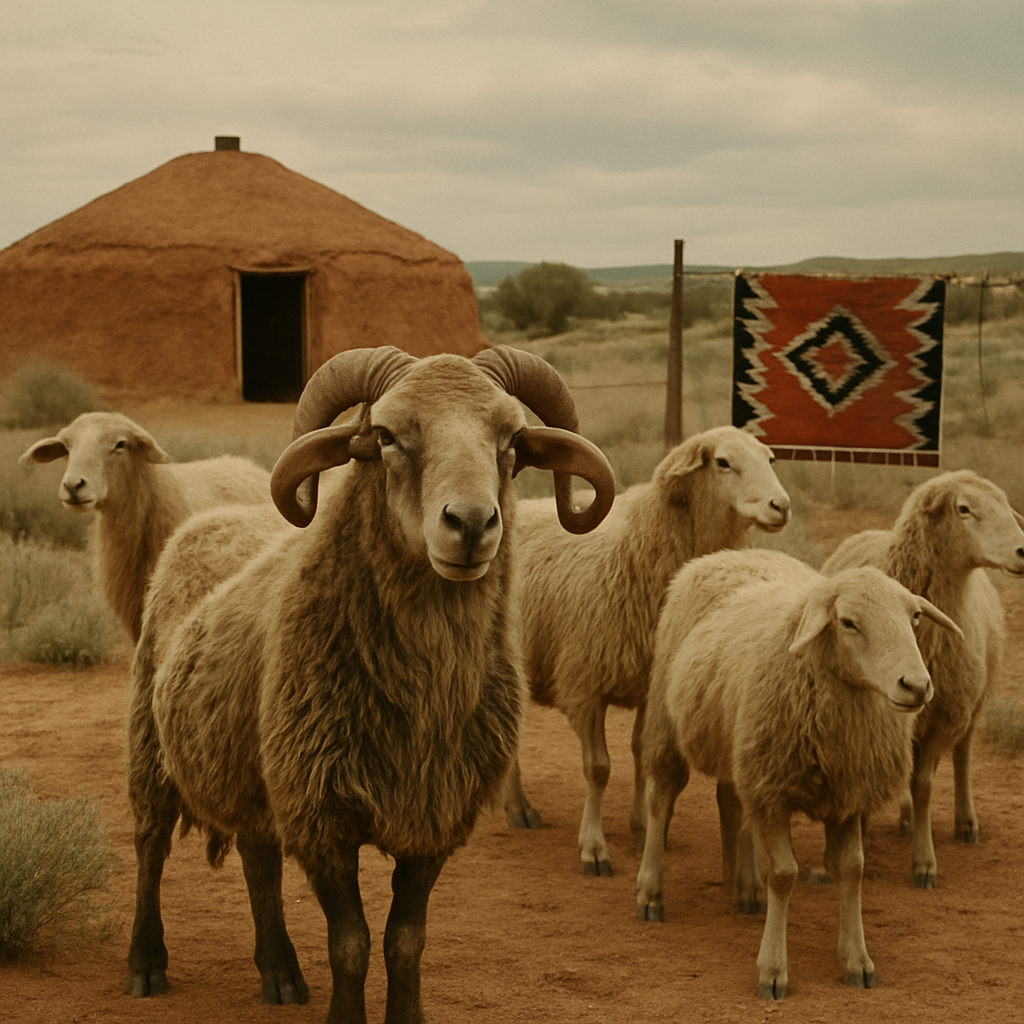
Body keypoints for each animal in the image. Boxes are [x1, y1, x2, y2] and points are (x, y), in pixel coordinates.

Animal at [125, 345, 617, 1024]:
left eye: (513, 440)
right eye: (384, 435)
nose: (470, 522)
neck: (421, 701)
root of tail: (213, 518)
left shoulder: (432, 821)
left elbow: (405, 941)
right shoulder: (323, 819)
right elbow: (351, 944)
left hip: (257, 771)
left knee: (258, 861)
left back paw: (280, 973)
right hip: (151, 744)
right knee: (150, 846)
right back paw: (146, 964)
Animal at [502, 425, 791, 877]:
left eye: (770, 459)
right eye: (723, 462)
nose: (781, 506)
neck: (638, 549)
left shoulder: (648, 683)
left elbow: (639, 754)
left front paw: (642, 829)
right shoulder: (585, 682)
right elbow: (598, 768)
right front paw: (594, 847)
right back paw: (518, 808)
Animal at [636, 548, 962, 999]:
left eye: (914, 616)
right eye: (848, 622)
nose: (915, 686)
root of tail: (728, 555)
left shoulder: (847, 793)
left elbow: (853, 870)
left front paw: (857, 959)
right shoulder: (774, 792)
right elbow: (785, 874)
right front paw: (773, 970)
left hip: (741, 745)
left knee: (731, 803)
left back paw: (745, 887)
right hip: (668, 722)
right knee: (660, 799)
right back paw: (651, 893)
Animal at [821, 470, 1024, 888]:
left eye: (1005, 503)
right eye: (964, 509)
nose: (1022, 552)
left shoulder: (944, 715)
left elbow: (925, 785)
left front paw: (924, 863)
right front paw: (858, 835)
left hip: (974, 702)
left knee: (962, 755)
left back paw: (964, 823)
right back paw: (904, 818)